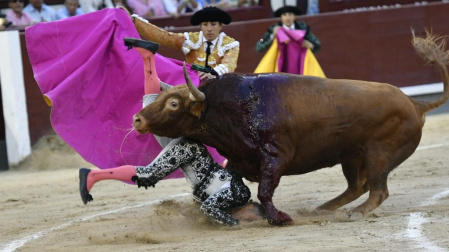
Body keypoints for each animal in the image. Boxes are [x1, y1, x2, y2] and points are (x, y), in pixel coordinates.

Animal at [131, 32, 448, 226]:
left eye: (173, 103)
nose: (137, 119)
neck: (227, 108)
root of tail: (416, 105)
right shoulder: (239, 159)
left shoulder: (275, 158)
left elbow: (265, 192)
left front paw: (279, 218)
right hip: (351, 156)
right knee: (358, 186)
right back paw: (322, 209)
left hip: (378, 154)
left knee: (378, 190)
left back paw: (353, 214)